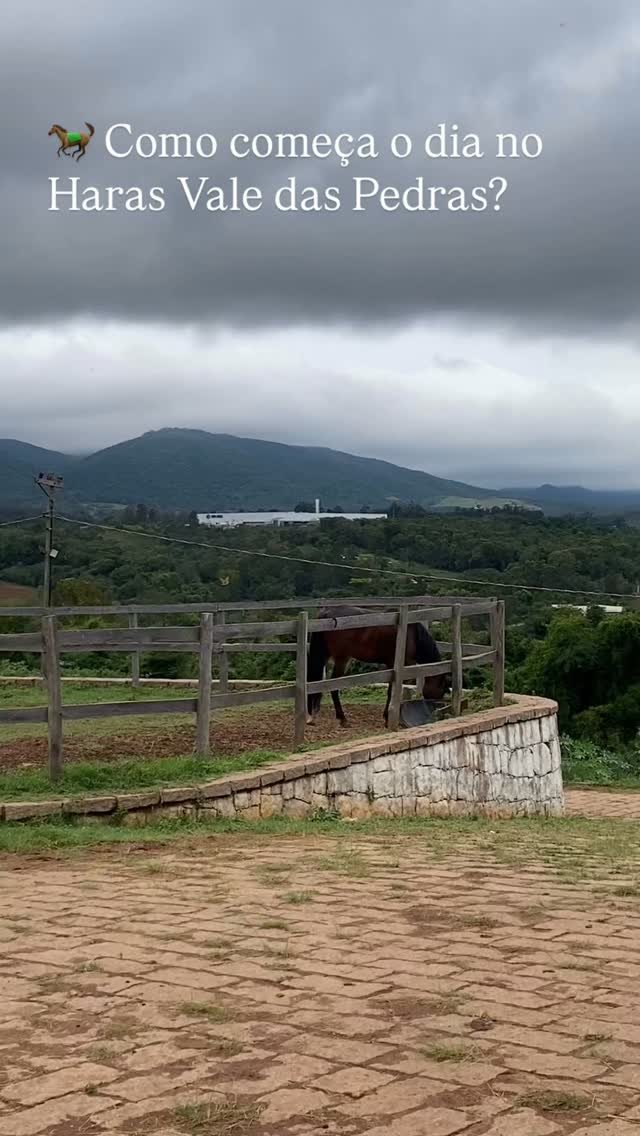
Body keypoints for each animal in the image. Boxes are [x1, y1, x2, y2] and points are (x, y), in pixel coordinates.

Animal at [306, 604, 450, 728]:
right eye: (441, 691)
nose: (434, 709)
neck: (411, 634)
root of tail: (326, 613)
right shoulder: (401, 666)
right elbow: (394, 691)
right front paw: (388, 718)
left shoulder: (391, 667)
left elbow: (391, 691)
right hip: (342, 659)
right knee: (333, 686)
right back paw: (343, 719)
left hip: (326, 656)